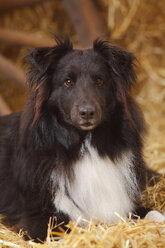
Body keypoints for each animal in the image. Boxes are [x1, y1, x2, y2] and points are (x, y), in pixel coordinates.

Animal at [0, 37, 161, 241]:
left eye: (99, 80)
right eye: (68, 82)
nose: (87, 113)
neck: (85, 143)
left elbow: (154, 213)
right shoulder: (39, 218)